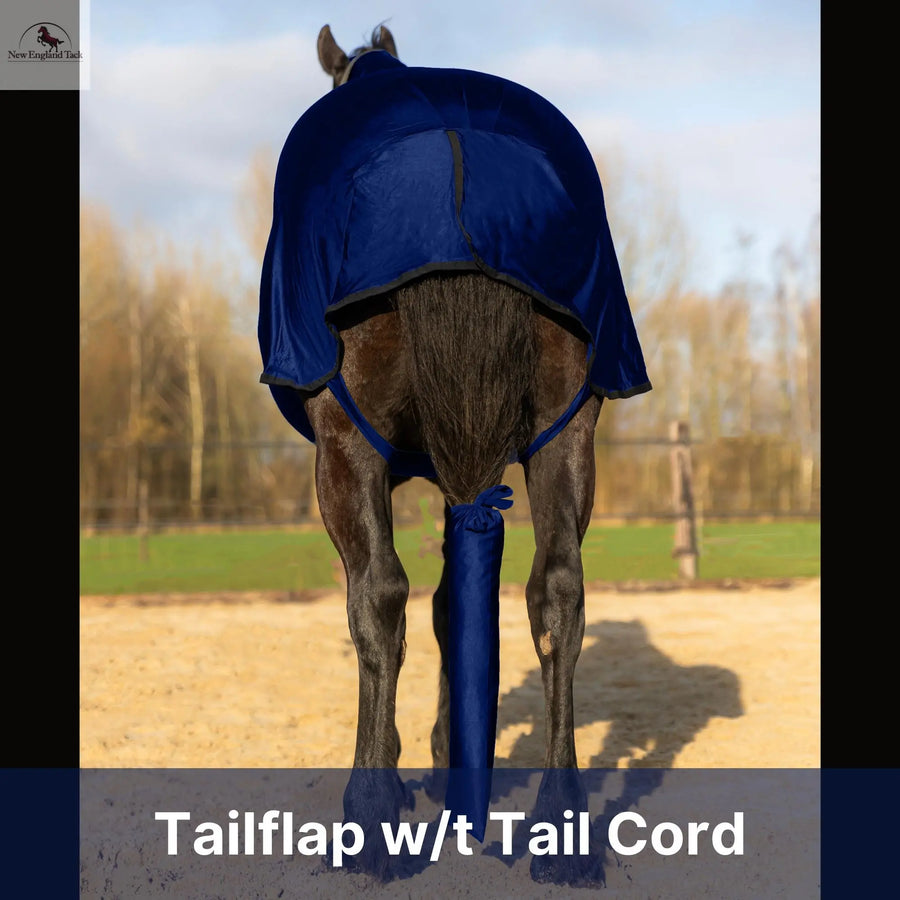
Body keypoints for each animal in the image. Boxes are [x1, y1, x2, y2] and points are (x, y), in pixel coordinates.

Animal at [258, 24, 650, 881]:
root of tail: (459, 164)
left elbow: (400, 605)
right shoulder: (464, 473)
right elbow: (453, 605)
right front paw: (449, 760)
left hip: (345, 447)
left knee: (376, 595)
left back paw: (369, 820)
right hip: (566, 434)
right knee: (558, 593)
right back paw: (561, 829)